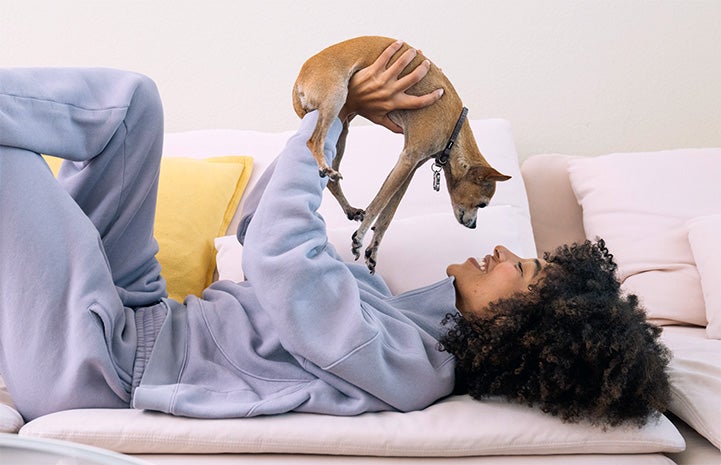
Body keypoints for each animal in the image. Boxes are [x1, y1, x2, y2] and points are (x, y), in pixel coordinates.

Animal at [292, 38, 506, 274]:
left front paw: (373, 250)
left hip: (342, 130)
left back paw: (348, 207)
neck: (454, 128)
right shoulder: (408, 158)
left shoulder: (409, 168)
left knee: (332, 180)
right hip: (336, 99)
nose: (474, 226)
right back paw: (323, 166)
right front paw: (360, 237)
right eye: (482, 205)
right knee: (314, 141)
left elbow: (387, 214)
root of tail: (299, 79)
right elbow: (378, 204)